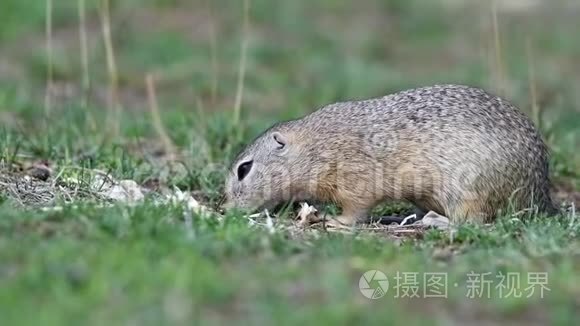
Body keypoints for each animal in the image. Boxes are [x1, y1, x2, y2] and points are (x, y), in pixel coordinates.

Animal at [221, 84, 552, 224]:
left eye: (244, 169)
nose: (226, 209)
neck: (316, 147)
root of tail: (540, 195)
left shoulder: (356, 180)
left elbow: (355, 210)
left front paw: (335, 221)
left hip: (468, 191)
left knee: (473, 221)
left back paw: (433, 222)